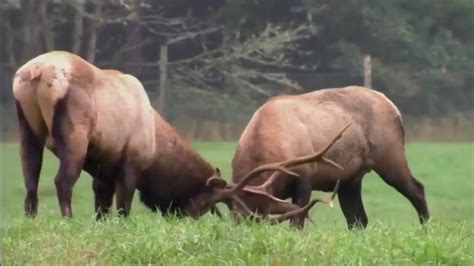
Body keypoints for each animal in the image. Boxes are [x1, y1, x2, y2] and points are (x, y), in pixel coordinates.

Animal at [12, 51, 340, 221]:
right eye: (207, 202)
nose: (186, 218)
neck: (157, 148)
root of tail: (34, 74)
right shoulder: (131, 162)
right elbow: (124, 207)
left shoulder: (103, 169)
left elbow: (102, 207)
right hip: (74, 136)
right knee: (61, 181)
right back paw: (67, 220)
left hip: (27, 131)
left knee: (30, 180)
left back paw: (31, 219)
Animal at [230, 85, 430, 229]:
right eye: (236, 220)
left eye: (258, 217)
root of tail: (394, 108)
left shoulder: (305, 178)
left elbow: (297, 222)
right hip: (350, 179)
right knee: (358, 220)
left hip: (390, 158)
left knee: (417, 189)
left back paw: (426, 228)